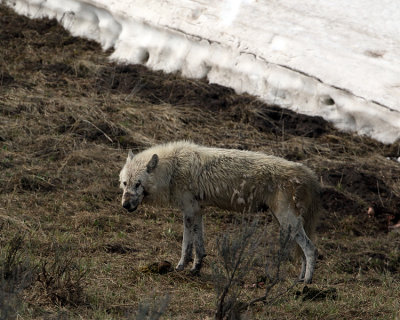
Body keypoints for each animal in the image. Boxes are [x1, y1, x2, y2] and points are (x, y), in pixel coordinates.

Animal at [119, 140, 322, 282]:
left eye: (138, 184)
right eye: (125, 183)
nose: (125, 205)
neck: (172, 169)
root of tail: (309, 174)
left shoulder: (189, 212)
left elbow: (186, 246)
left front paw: (180, 268)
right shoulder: (197, 211)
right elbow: (199, 247)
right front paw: (195, 269)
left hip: (288, 223)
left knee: (311, 249)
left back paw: (307, 282)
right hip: (286, 224)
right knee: (302, 253)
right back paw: (299, 279)